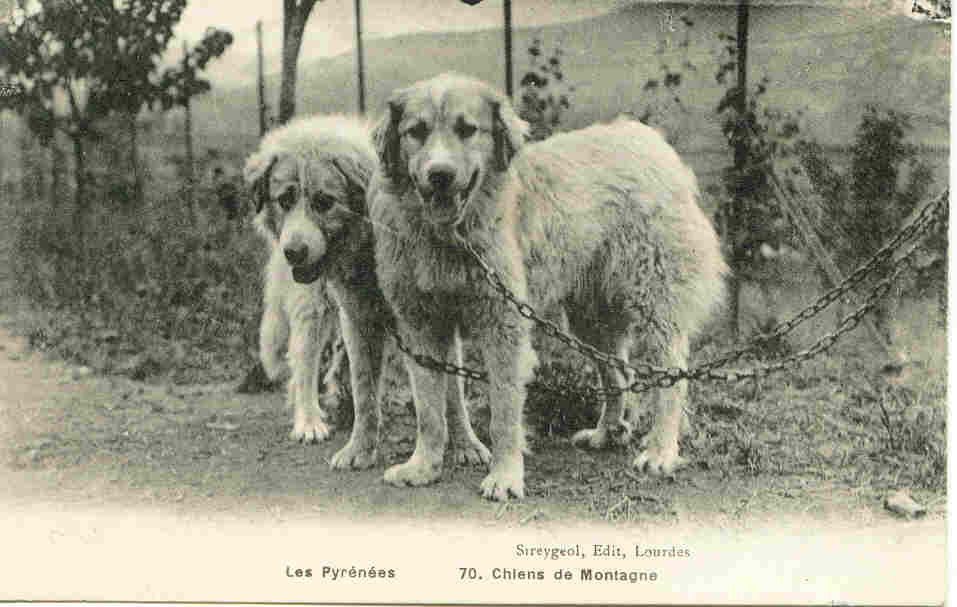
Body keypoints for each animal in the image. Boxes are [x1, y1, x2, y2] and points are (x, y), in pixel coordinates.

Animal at [368, 73, 724, 502]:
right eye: (416, 132)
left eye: (467, 129)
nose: (440, 175)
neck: (451, 236)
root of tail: (648, 141)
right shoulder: (420, 326)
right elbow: (428, 409)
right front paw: (423, 466)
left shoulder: (503, 327)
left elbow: (504, 412)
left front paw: (505, 474)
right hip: (591, 320)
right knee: (617, 377)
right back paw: (607, 433)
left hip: (655, 307)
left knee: (671, 379)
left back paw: (660, 452)